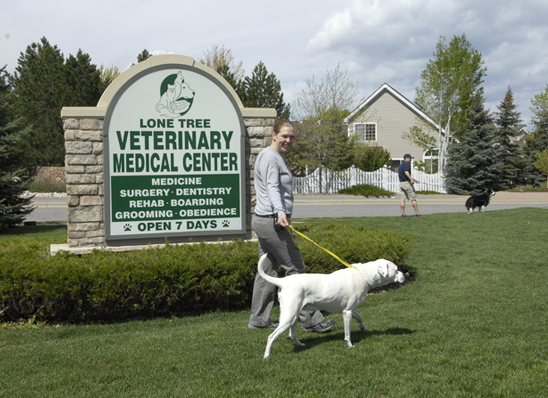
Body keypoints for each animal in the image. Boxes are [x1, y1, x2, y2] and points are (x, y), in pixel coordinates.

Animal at [258, 253, 406, 360]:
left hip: (293, 316)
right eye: (396, 270)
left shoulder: (349, 309)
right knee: (272, 336)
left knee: (292, 335)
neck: (364, 275)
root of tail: (283, 281)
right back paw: (266, 356)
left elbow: (360, 317)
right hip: (289, 316)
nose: (404, 275)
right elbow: (347, 334)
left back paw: (300, 345)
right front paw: (350, 345)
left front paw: (364, 328)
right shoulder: (347, 313)